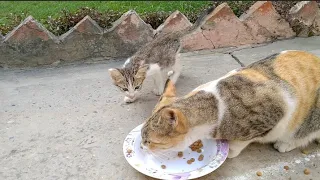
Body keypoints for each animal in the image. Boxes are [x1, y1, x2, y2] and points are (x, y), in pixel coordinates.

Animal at [141, 50, 320, 158]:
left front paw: (231, 150)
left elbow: (243, 141)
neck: (216, 106)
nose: (142, 146)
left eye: (149, 141)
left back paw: (286, 143)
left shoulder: (278, 111)